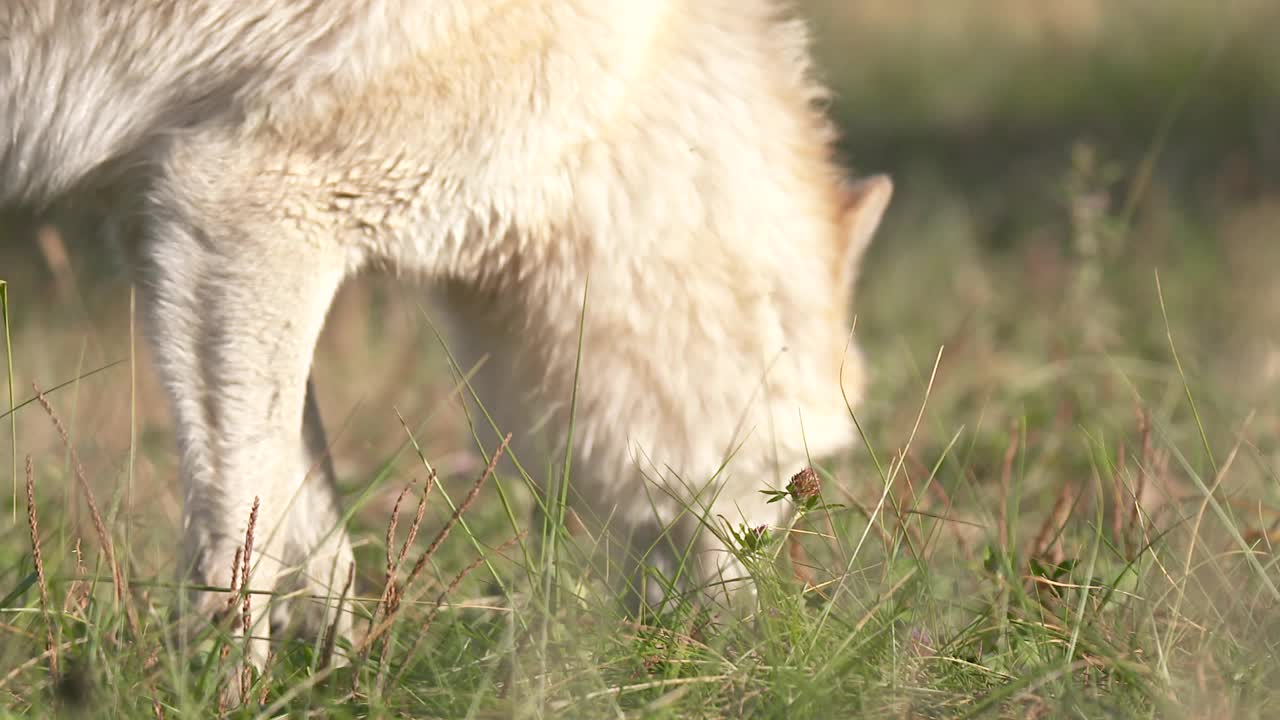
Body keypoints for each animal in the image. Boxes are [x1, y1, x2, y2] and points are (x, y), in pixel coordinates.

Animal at [0, 0, 896, 661]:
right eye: (791, 475)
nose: (758, 643)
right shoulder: (247, 211)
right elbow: (243, 545)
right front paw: (234, 691)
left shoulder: (165, 226)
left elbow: (320, 544)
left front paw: (336, 681)